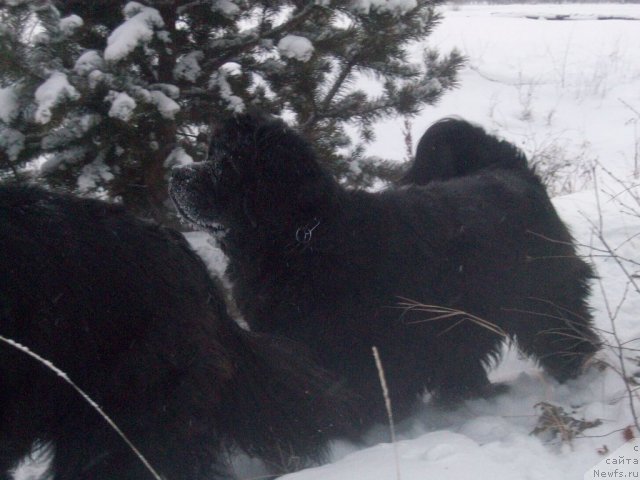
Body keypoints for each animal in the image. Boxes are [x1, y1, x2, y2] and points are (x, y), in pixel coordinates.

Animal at [169, 113, 600, 428]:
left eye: (228, 162)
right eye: (210, 151)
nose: (176, 174)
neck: (303, 237)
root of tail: (513, 170)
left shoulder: (359, 346)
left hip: (542, 295)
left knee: (565, 333)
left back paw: (576, 374)